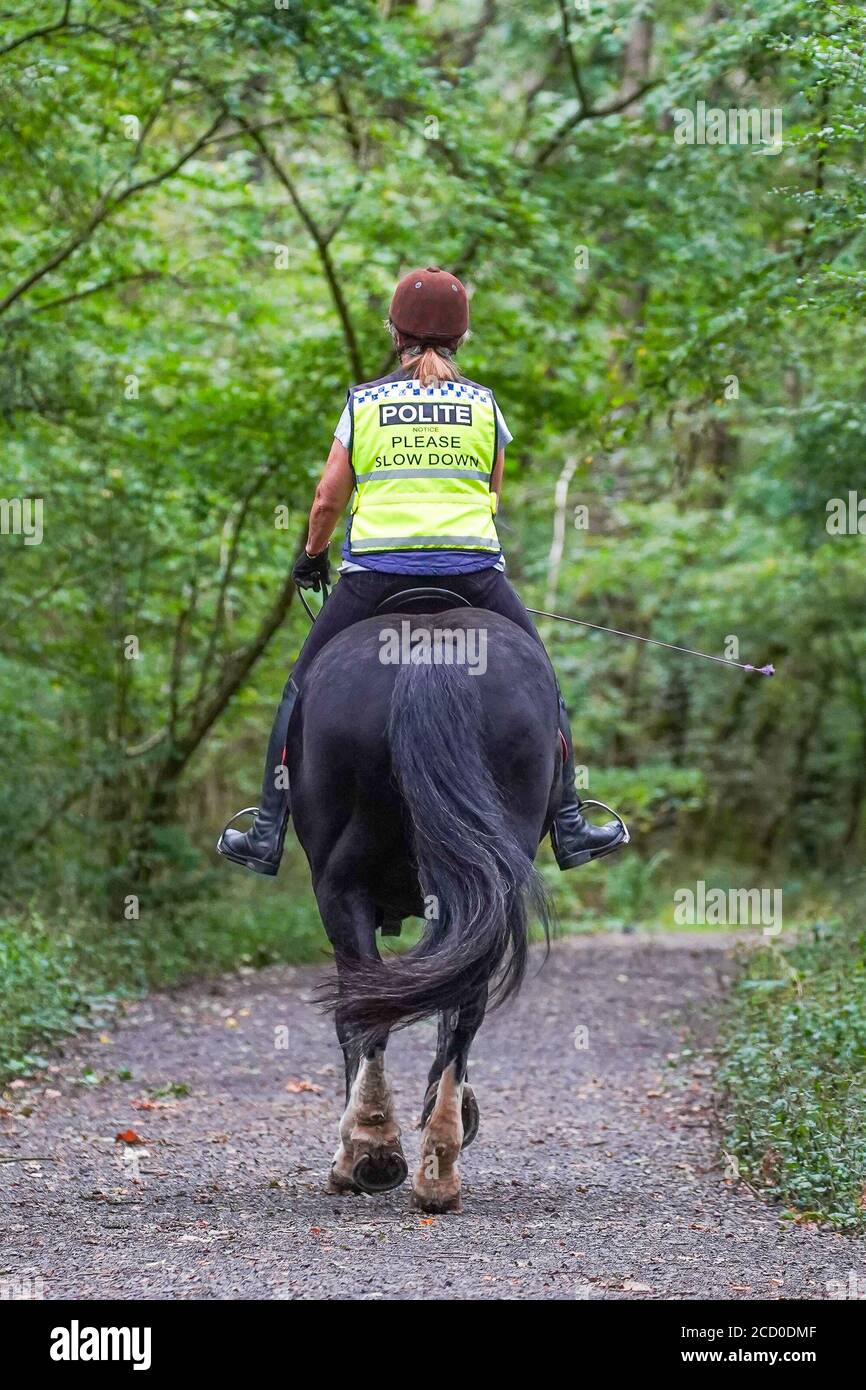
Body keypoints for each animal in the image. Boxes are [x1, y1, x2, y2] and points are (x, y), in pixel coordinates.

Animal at [288, 601, 562, 1213]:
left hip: (340, 888)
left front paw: (362, 1150)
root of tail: (435, 646)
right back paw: (438, 1165)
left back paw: (369, 1149)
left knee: (364, 1007)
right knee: (464, 1004)